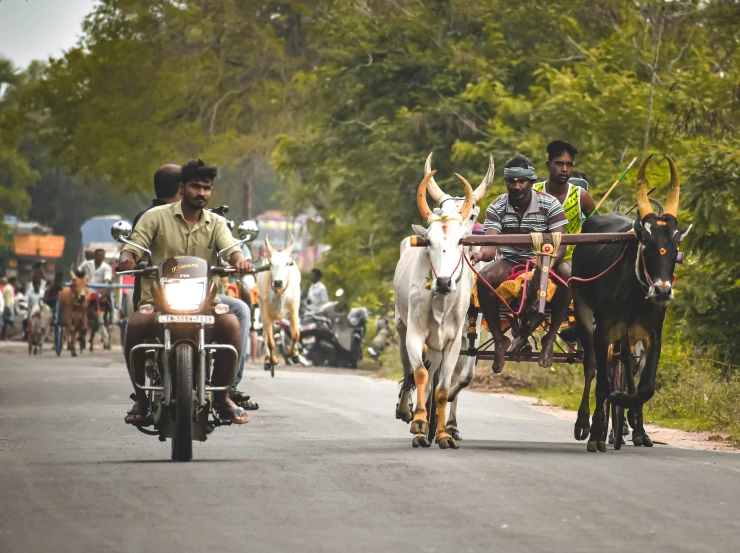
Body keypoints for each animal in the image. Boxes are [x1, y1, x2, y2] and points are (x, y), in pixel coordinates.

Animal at [254, 234, 300, 370]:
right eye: (270, 263)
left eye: (287, 264)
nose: (278, 282)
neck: (279, 295)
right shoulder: (266, 315)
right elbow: (270, 342)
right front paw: (273, 360)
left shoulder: (294, 309)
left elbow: (295, 334)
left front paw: (294, 354)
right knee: (264, 334)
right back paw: (267, 360)